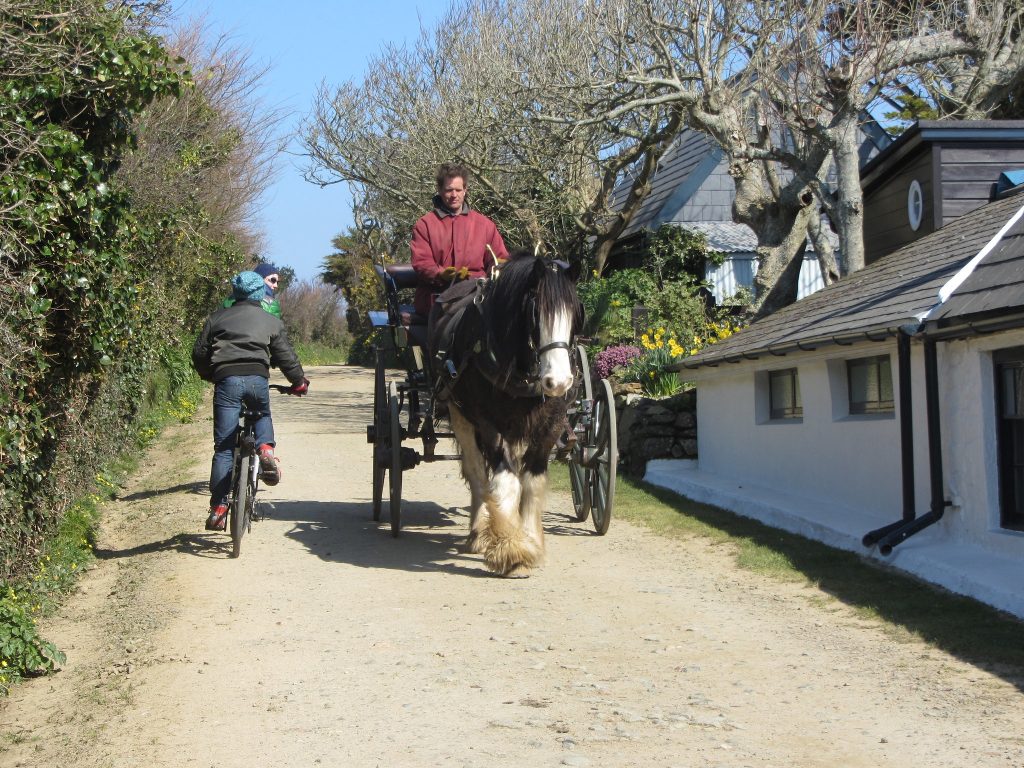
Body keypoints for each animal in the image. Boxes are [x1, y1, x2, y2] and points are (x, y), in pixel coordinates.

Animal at [428, 252, 581, 577]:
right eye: (536, 311)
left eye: (575, 312)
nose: (559, 381)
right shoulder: (489, 424)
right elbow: (504, 481)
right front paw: (512, 548)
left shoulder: (550, 425)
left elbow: (532, 481)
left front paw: (531, 540)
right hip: (460, 415)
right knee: (477, 473)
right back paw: (478, 532)